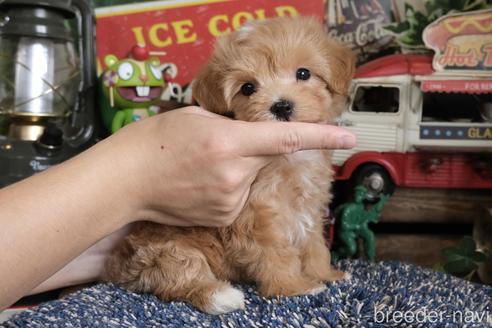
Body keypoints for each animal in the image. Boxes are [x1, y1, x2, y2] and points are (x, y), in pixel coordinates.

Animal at [105, 16, 356, 314]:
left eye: (304, 73)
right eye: (248, 88)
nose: (281, 106)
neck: (290, 158)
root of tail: (119, 265)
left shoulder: (311, 208)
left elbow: (315, 244)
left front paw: (325, 274)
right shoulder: (256, 217)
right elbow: (276, 254)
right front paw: (294, 287)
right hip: (168, 251)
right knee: (179, 277)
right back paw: (221, 295)